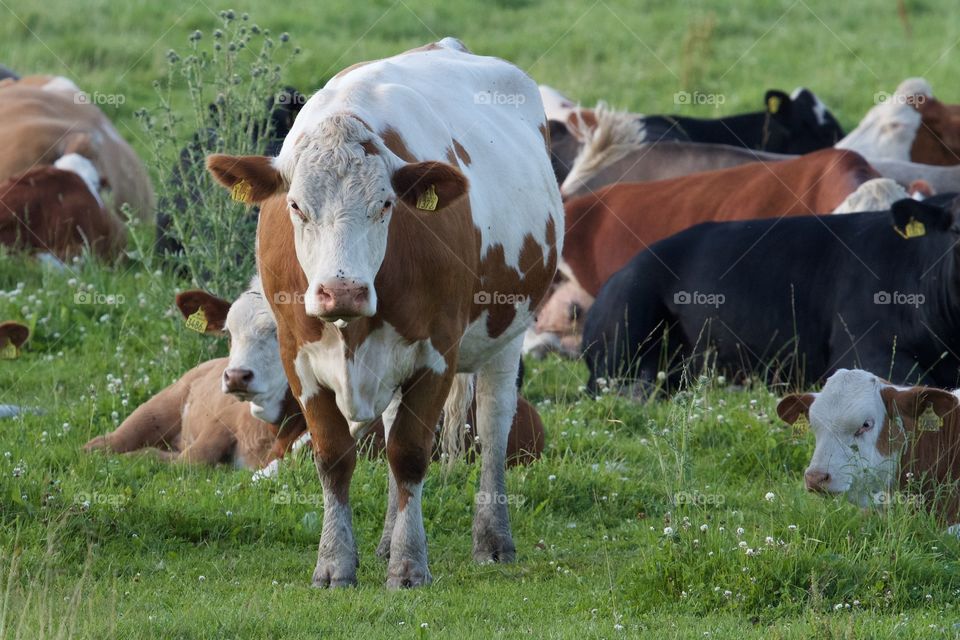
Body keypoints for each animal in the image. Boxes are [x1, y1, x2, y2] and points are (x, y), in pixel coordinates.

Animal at [206, 38, 560, 592]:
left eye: (386, 205)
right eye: (296, 206)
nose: (342, 291)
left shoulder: (437, 354)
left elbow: (410, 454)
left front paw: (409, 565)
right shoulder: (298, 359)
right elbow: (334, 458)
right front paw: (335, 564)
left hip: (507, 334)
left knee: (493, 424)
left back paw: (492, 539)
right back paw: (385, 539)